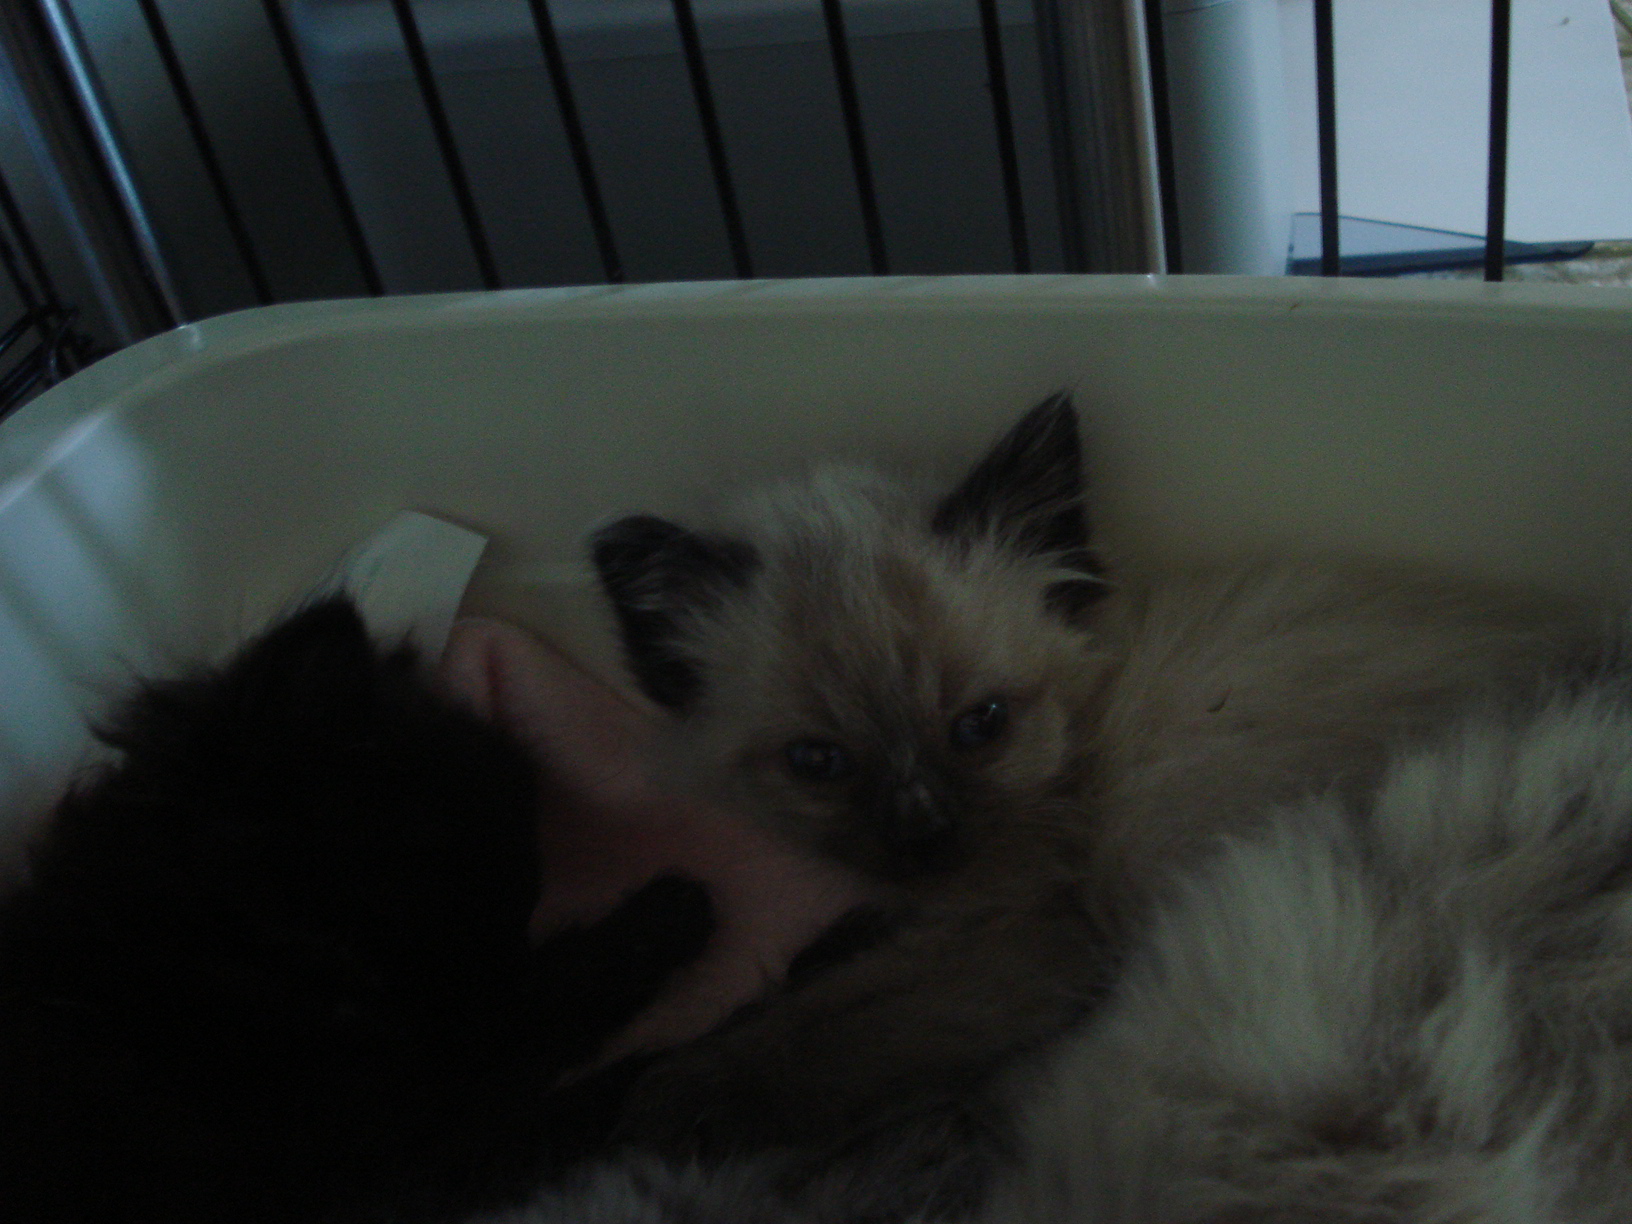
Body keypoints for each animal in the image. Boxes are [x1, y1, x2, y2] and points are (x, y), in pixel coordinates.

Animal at [0, 597, 714, 1224]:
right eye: (450, 885)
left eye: (519, 906)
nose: (505, 956)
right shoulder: (401, 1140)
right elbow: (574, 1059)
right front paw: (677, 927)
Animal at [586, 392, 1581, 1208]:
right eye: (818, 761)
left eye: (982, 723)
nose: (924, 832)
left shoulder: (1030, 940)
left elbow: (821, 1033)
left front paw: (667, 1098)